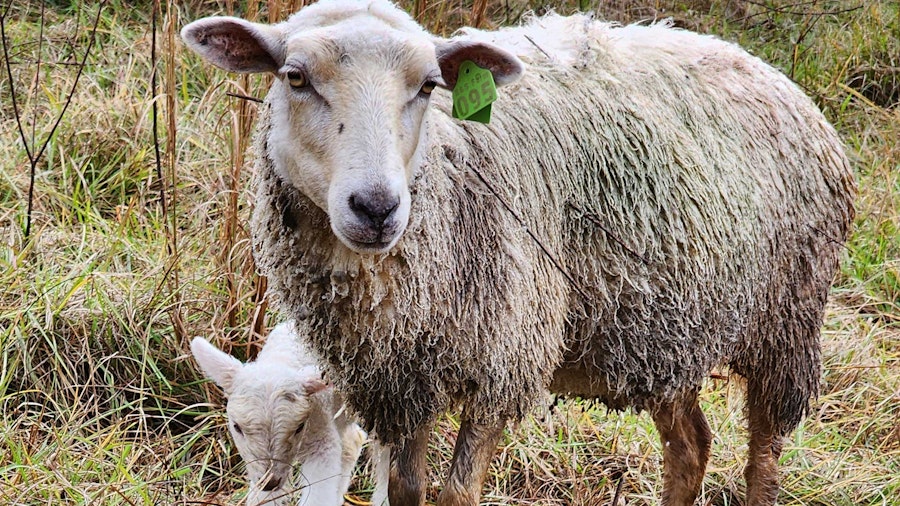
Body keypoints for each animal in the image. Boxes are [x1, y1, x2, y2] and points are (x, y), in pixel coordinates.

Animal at [191, 320, 366, 506]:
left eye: (299, 427)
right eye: (236, 427)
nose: (270, 483)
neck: (283, 358)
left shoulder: (322, 438)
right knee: (354, 441)